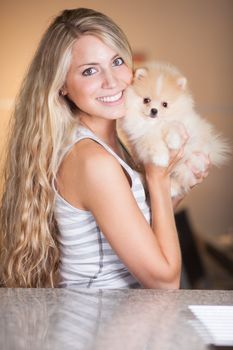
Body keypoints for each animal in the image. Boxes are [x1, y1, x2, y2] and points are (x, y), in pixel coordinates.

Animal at [119, 62, 230, 197]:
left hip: (191, 160)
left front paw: (174, 142)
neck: (155, 124)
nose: (154, 110)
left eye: (165, 104)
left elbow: (172, 125)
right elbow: (152, 141)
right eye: (146, 100)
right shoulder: (141, 135)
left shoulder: (182, 124)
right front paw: (161, 158)